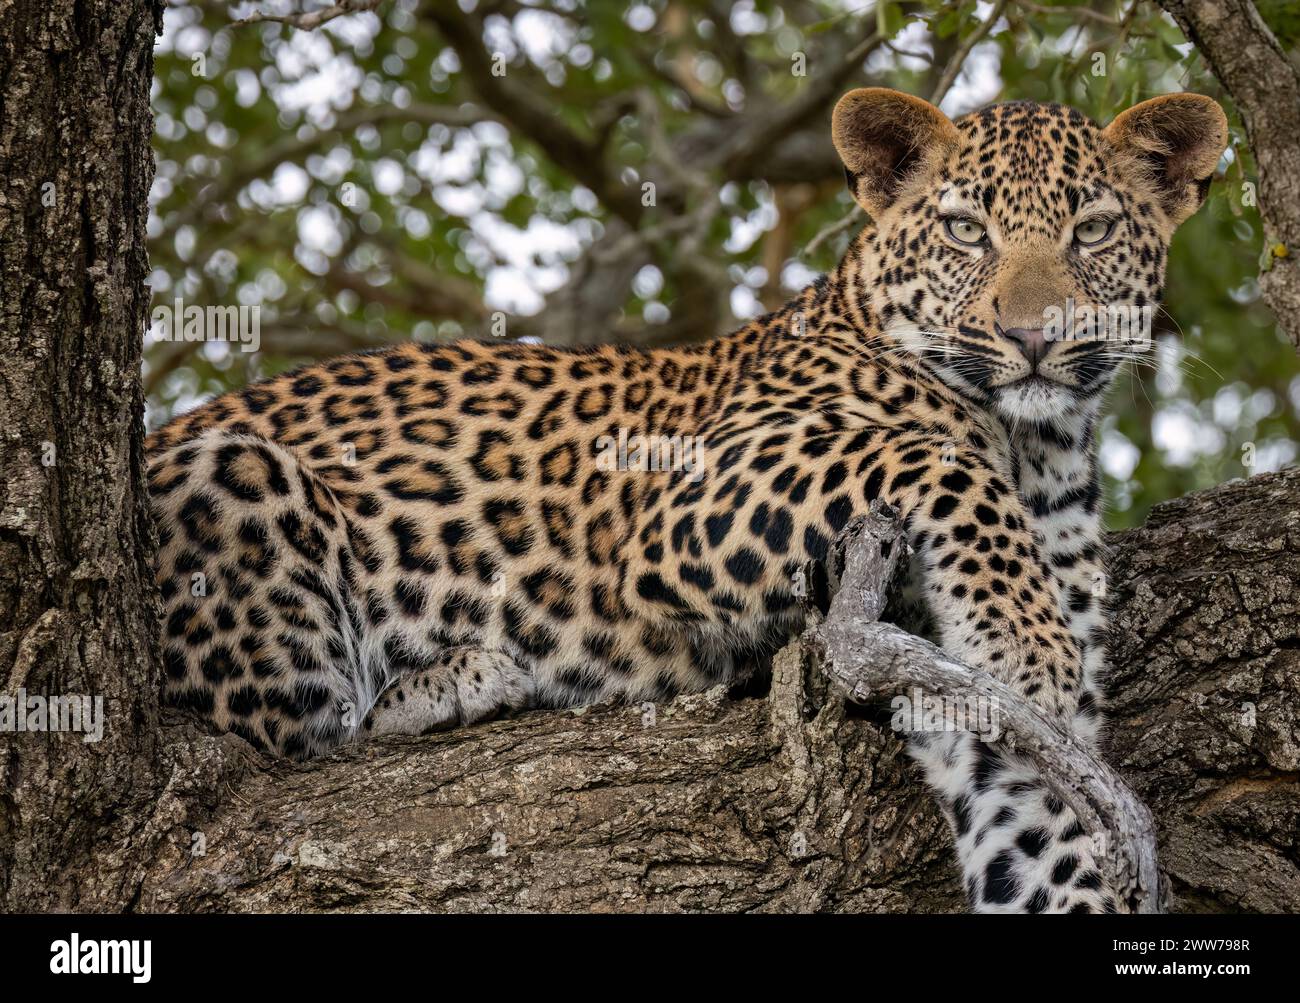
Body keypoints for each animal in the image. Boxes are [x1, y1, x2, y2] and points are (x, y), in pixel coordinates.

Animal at [147, 90, 1222, 914]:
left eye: (1092, 231)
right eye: (967, 230)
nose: (1036, 336)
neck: (1038, 447)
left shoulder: (993, 726)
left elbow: (1046, 834)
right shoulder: (699, 491)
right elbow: (928, 452)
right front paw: (1024, 636)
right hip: (238, 472)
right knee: (289, 735)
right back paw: (463, 676)